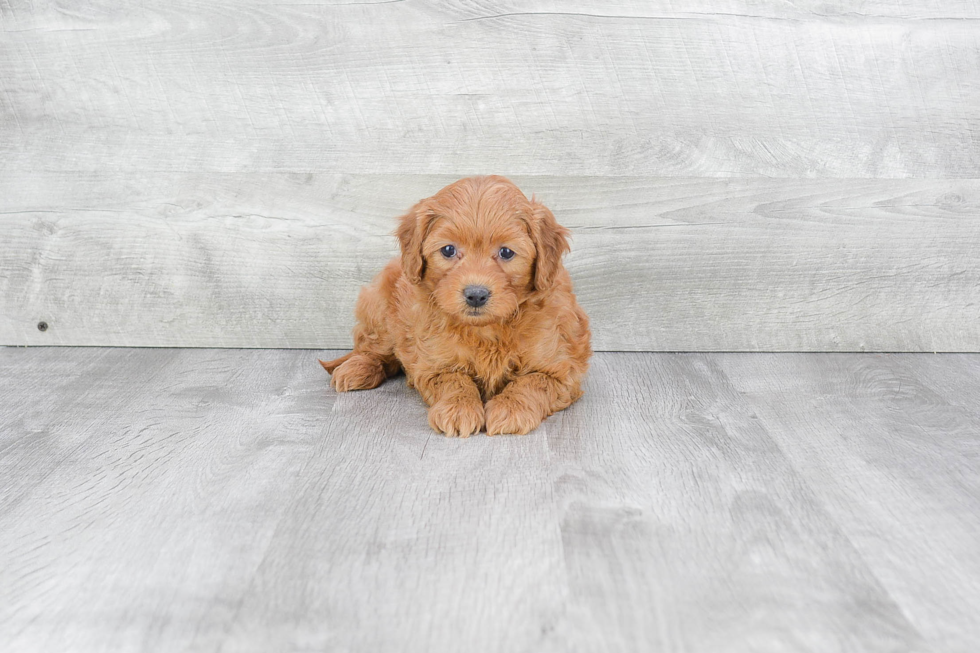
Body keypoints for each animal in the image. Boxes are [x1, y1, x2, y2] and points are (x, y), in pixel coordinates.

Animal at [324, 176, 588, 436]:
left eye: (506, 252)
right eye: (449, 250)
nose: (476, 295)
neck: (486, 330)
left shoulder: (562, 371)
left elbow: (532, 382)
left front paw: (511, 409)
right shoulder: (433, 364)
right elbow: (455, 380)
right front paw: (458, 409)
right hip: (379, 306)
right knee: (374, 349)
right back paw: (356, 369)